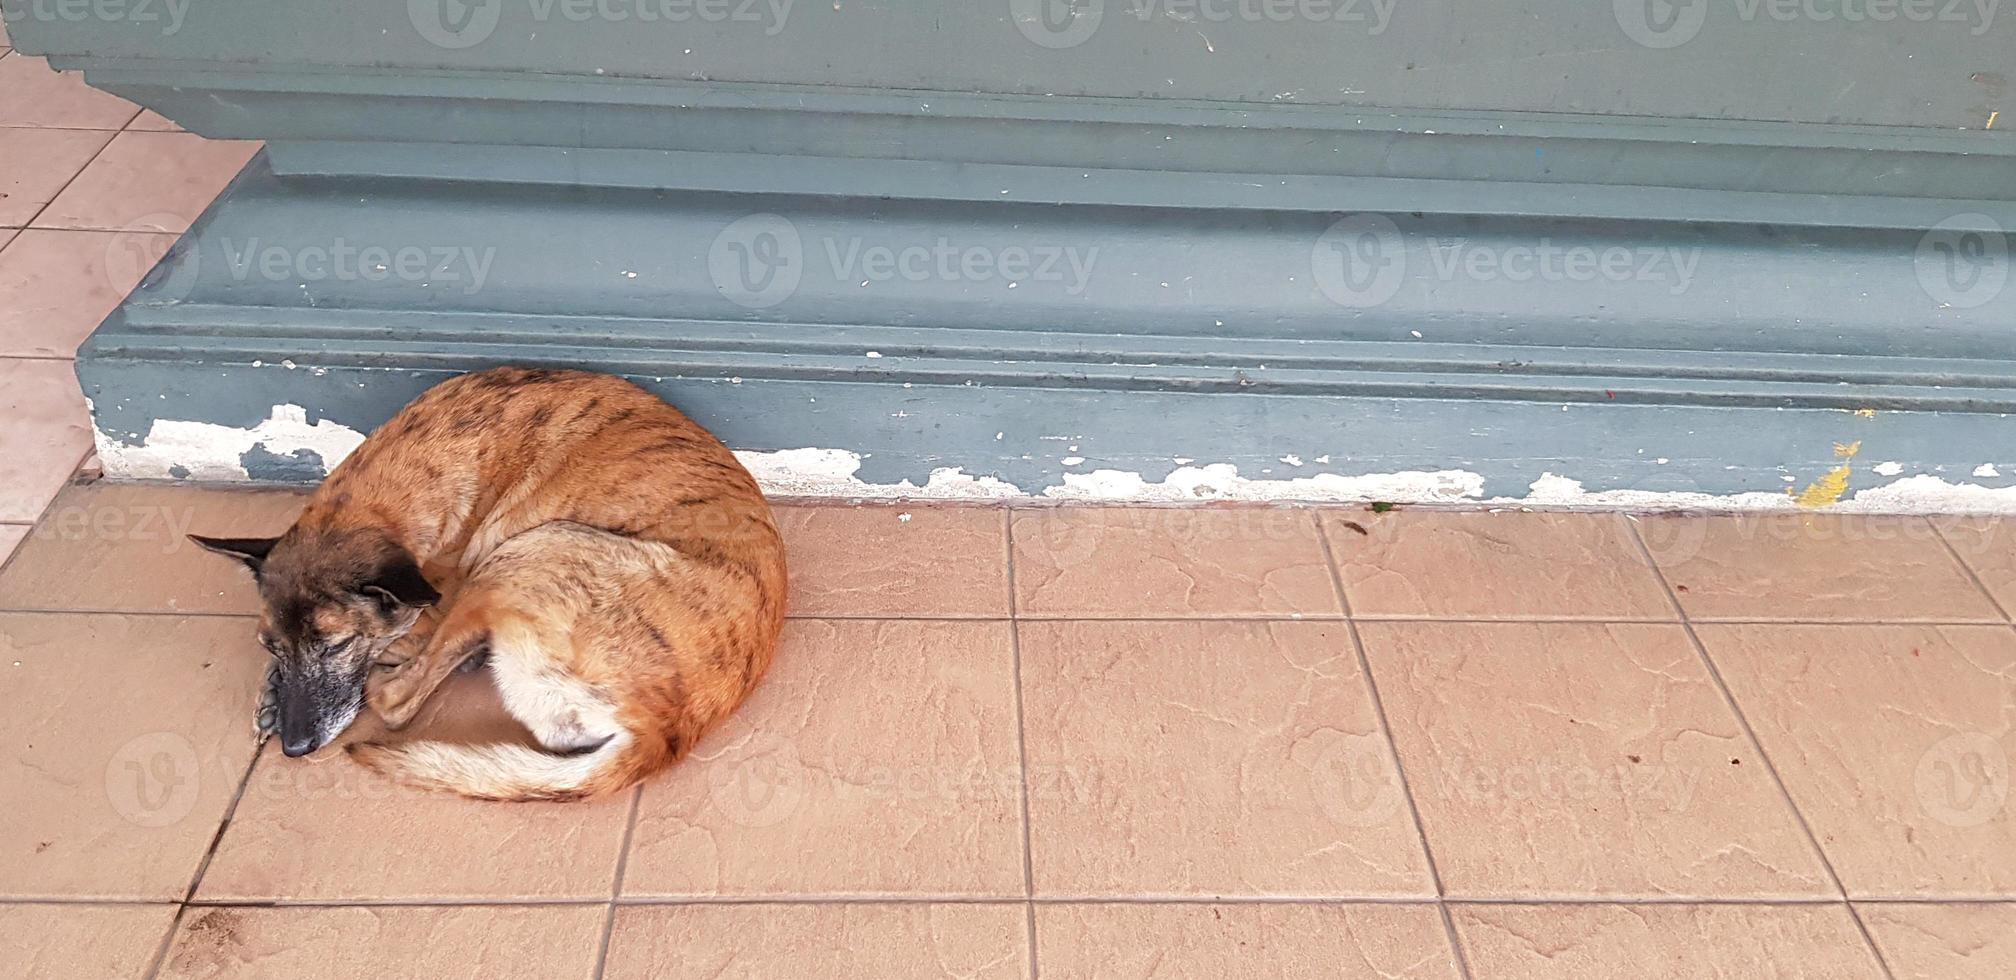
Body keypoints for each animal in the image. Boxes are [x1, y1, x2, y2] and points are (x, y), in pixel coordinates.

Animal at [190, 366, 786, 802]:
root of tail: (664, 732)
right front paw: (272, 687)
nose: (296, 748)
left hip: (524, 554)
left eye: (336, 645)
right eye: (270, 644)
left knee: (394, 699)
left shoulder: (440, 593)